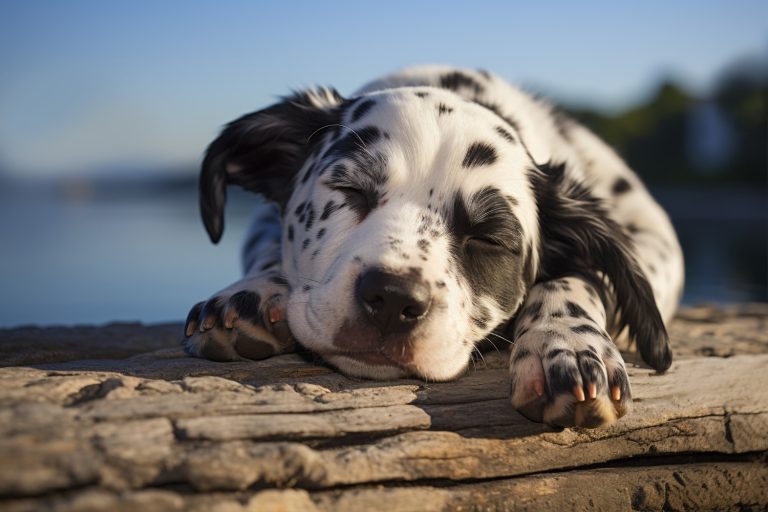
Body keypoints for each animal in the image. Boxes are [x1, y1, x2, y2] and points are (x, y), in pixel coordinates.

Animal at [182, 66, 684, 430]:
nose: (392, 299)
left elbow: (581, 277)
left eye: (487, 236)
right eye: (349, 189)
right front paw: (251, 294)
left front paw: (565, 344)